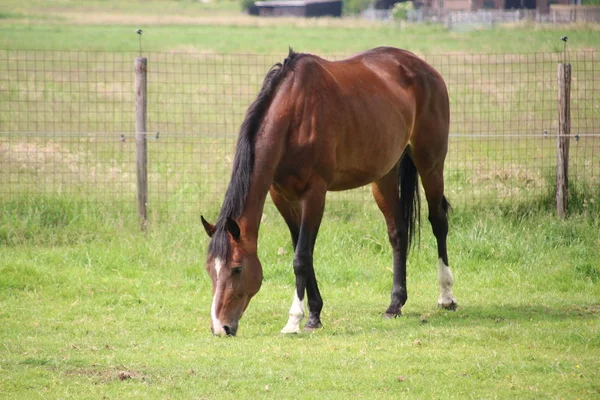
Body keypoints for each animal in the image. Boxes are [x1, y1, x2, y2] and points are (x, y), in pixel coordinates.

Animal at [200, 45, 454, 336]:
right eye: (210, 270)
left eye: (237, 269)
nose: (220, 327)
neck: (294, 115)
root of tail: (424, 68)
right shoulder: (282, 197)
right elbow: (302, 252)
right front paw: (314, 314)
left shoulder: (314, 193)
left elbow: (301, 257)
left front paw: (294, 320)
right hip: (384, 175)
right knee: (398, 233)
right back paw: (395, 304)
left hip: (430, 163)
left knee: (438, 221)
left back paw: (447, 297)